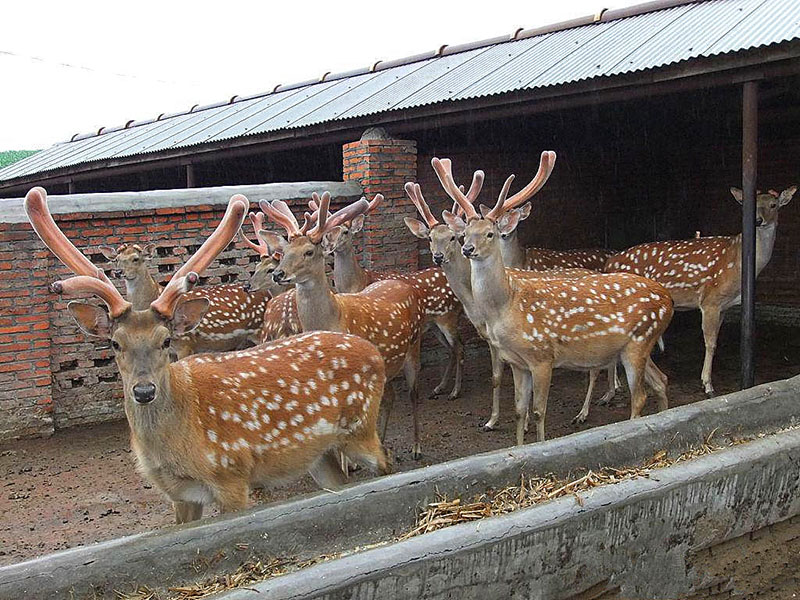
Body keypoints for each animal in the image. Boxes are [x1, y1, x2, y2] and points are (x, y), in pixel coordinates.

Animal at [29, 186, 392, 520]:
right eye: (115, 343)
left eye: (165, 340)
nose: (144, 391)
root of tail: (371, 351)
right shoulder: (179, 494)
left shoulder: (230, 473)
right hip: (318, 454)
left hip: (360, 428)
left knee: (386, 465)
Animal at [260, 192, 428, 460]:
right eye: (283, 252)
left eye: (309, 252)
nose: (278, 274)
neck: (334, 318)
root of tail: (403, 283)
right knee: (390, 396)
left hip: (414, 346)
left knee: (413, 394)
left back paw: (416, 447)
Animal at [406, 180, 620, 428]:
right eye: (430, 238)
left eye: (452, 237)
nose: (439, 257)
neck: (475, 305)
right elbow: (498, 378)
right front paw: (492, 421)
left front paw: (521, 423)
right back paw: (609, 394)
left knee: (595, 369)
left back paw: (585, 411)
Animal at [428, 154, 672, 446]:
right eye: (465, 234)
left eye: (490, 233)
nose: (468, 249)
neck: (507, 306)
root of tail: (667, 300)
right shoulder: (517, 362)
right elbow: (520, 410)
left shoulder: (543, 356)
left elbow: (538, 411)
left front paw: (540, 442)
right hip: (634, 345)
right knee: (661, 381)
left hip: (639, 340)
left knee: (639, 397)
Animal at [608, 185, 792, 396]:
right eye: (751, 204)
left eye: (774, 205)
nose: (758, 220)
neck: (737, 262)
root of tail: (608, 263)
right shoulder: (710, 300)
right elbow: (710, 343)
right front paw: (708, 385)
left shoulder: (724, 306)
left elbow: (715, 341)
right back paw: (616, 385)